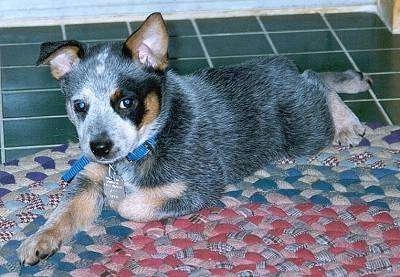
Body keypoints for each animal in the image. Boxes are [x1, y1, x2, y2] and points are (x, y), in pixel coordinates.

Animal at [16, 12, 372, 264]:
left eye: (127, 102)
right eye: (80, 106)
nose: (99, 147)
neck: (149, 141)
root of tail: (280, 65)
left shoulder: (200, 186)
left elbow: (131, 204)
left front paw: (118, 199)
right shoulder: (88, 178)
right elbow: (64, 210)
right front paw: (39, 239)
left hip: (305, 128)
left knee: (316, 82)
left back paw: (347, 121)